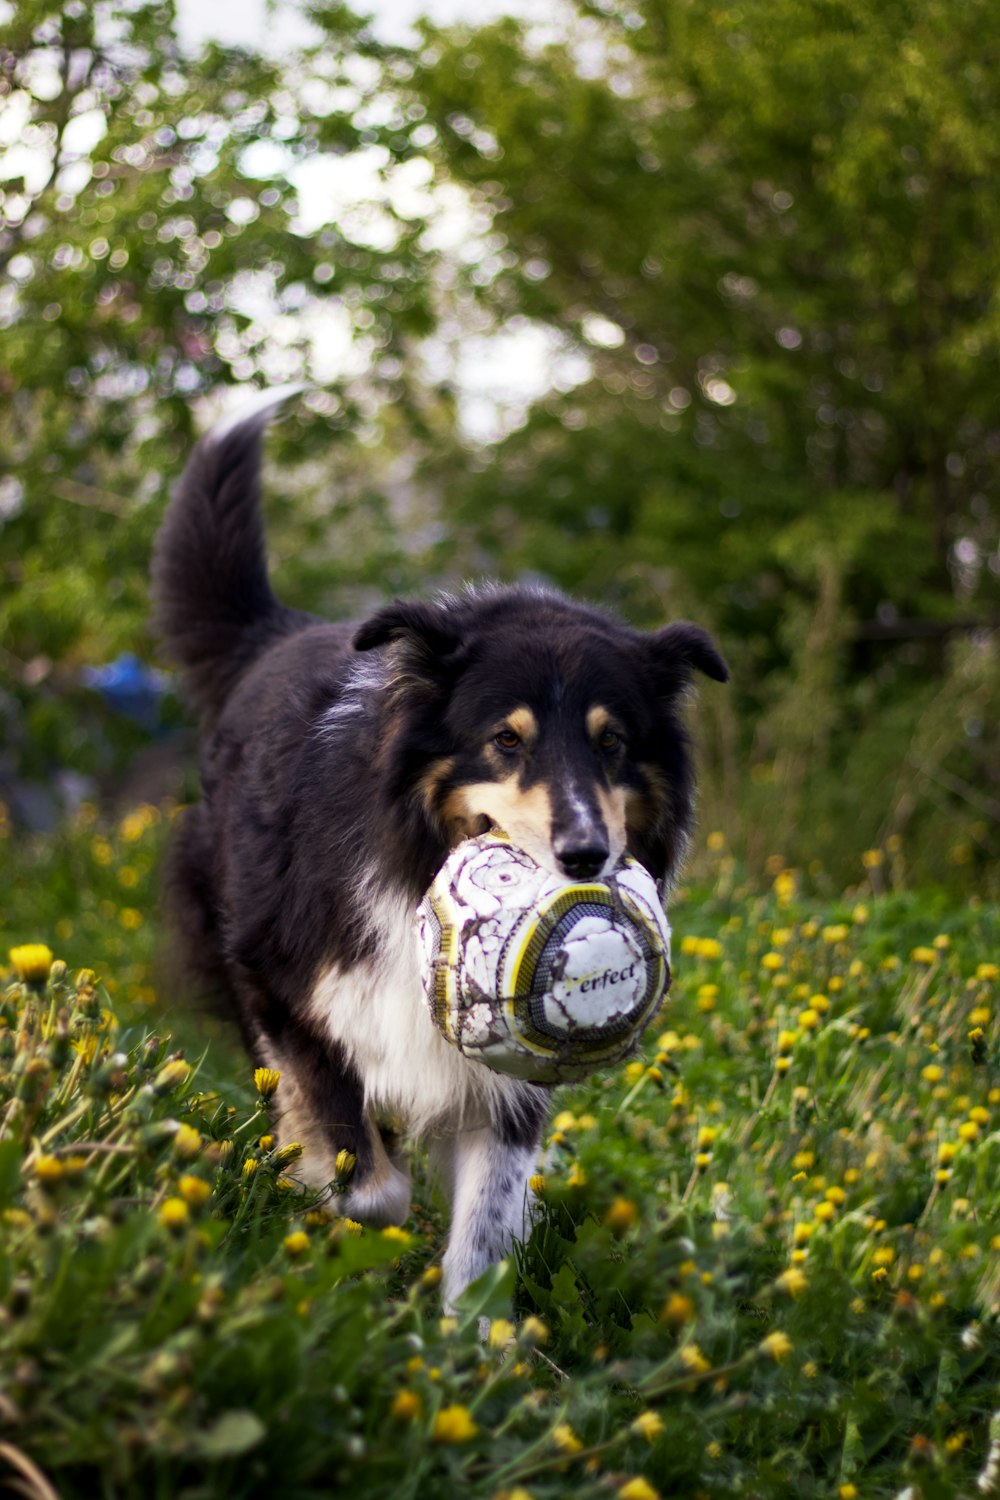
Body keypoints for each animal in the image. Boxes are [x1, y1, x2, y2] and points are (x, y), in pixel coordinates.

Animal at [150, 393, 728, 1308]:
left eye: (612, 742)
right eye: (505, 739)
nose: (586, 857)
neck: (416, 855)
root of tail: (275, 634)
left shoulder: (507, 1075)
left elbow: (485, 1228)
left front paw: (467, 1336)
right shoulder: (281, 980)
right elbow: (366, 1177)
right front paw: (341, 1204)